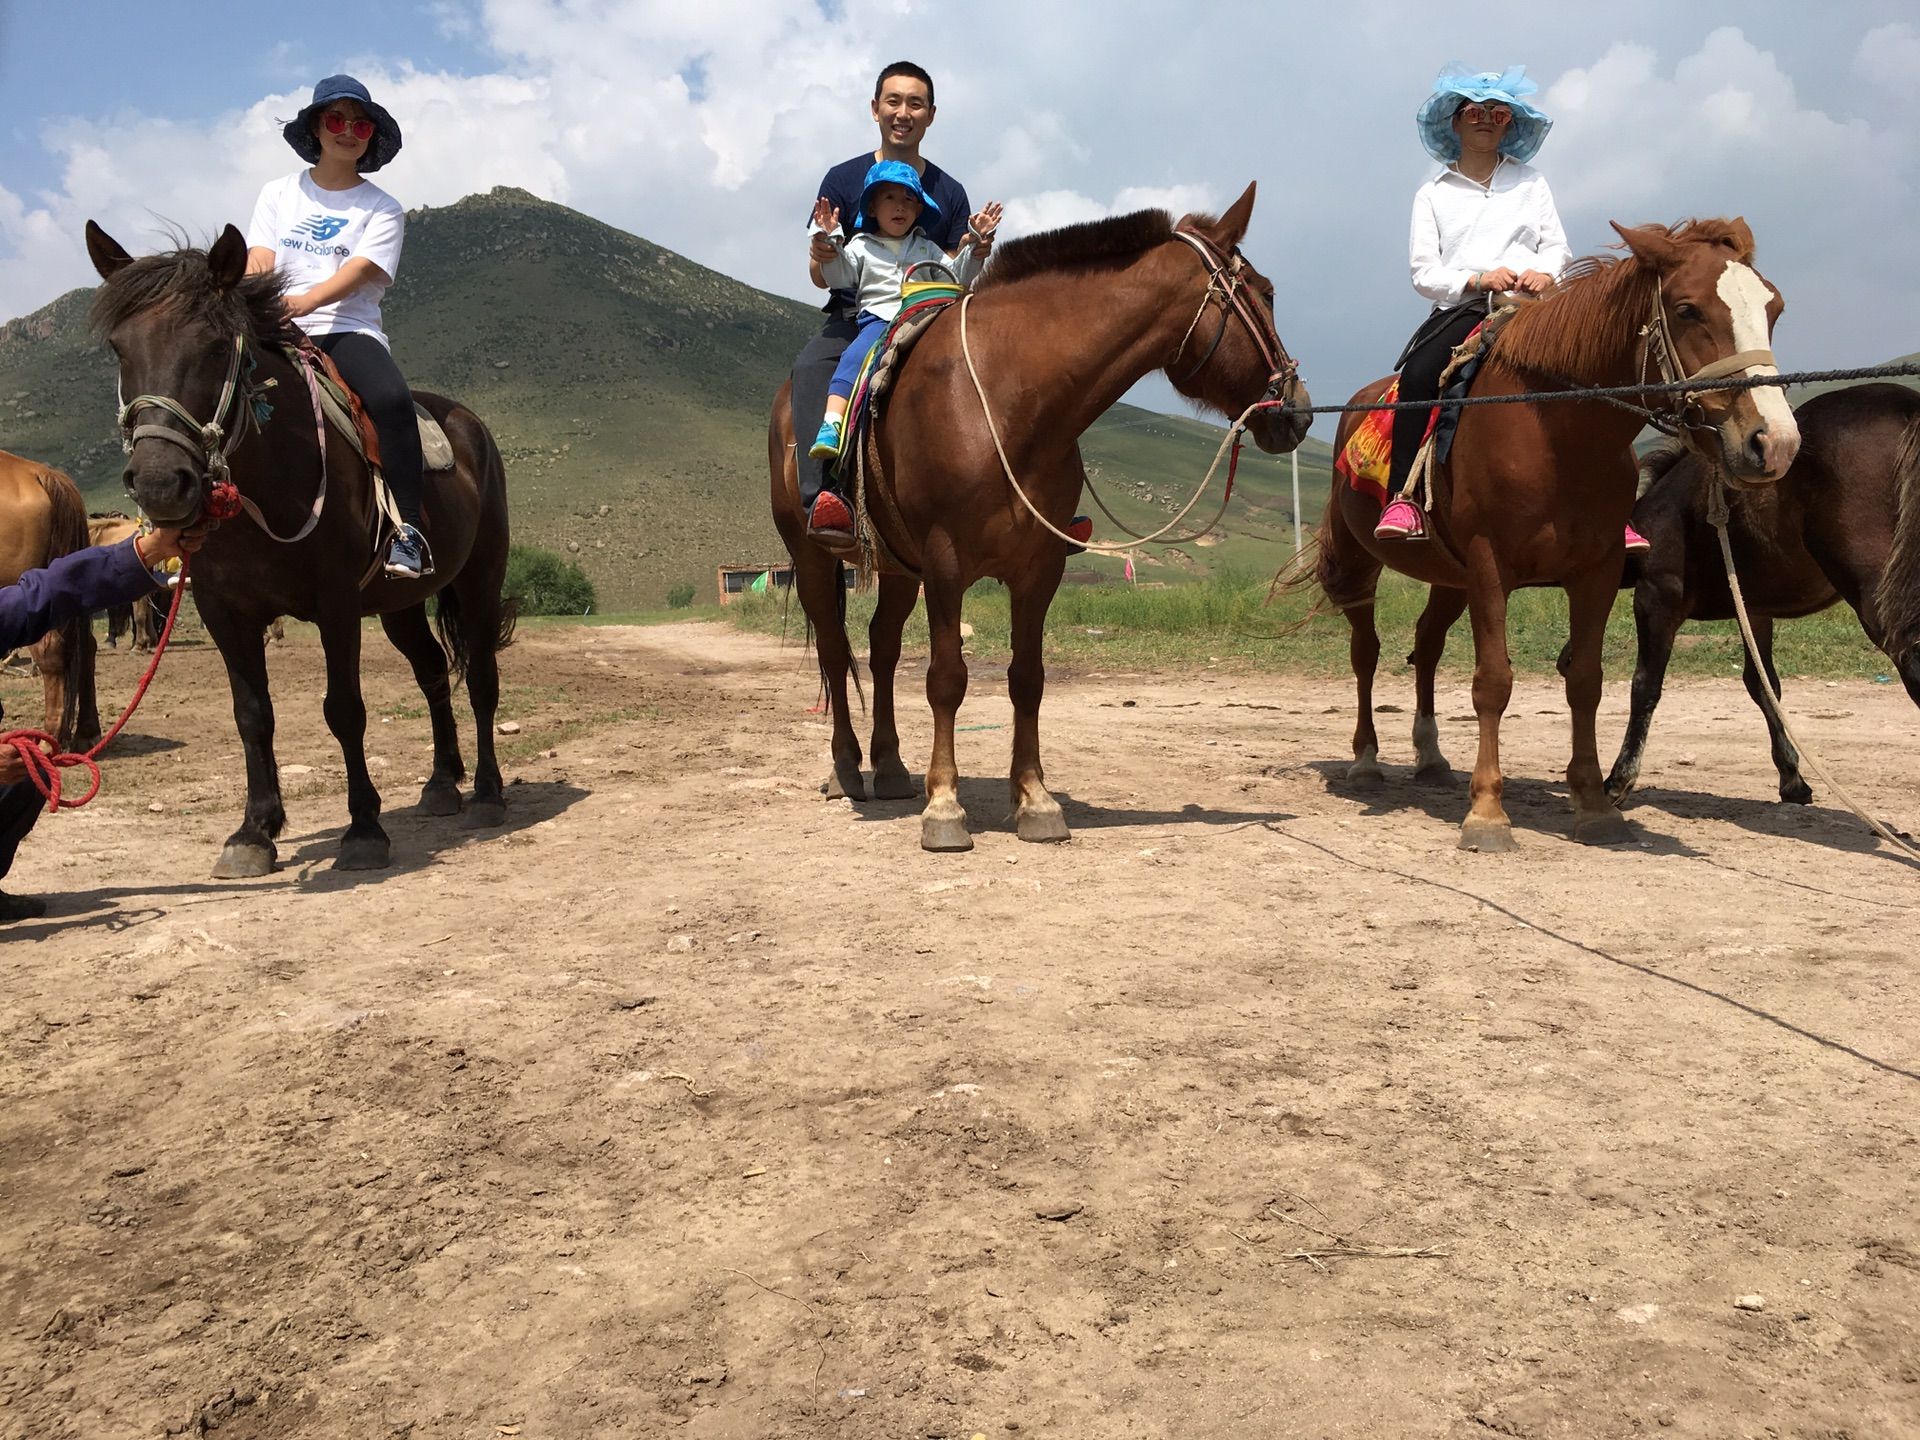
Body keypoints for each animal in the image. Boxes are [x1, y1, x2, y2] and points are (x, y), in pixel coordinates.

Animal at [87, 222, 514, 879]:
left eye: (216, 346)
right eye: (119, 348)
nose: (160, 483)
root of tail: (471, 426)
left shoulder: (336, 605)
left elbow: (345, 710)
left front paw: (363, 830)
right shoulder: (224, 612)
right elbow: (252, 714)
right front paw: (253, 832)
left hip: (478, 582)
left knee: (482, 679)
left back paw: (488, 795)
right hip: (399, 606)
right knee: (433, 671)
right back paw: (442, 784)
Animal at [771, 184, 1313, 852]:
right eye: (1265, 292)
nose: (1298, 411)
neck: (1012, 399)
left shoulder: (1039, 568)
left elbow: (1027, 678)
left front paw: (1034, 799)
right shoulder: (946, 565)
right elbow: (947, 678)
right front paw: (945, 808)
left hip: (899, 568)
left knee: (881, 650)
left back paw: (893, 768)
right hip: (813, 559)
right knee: (833, 648)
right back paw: (848, 769)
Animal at [1320, 219, 1797, 852]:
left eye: (1774, 308)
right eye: (1688, 309)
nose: (1775, 443)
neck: (1556, 432)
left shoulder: (1594, 571)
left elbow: (1586, 681)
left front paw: (1595, 805)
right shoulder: (1490, 566)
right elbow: (1493, 682)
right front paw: (1487, 814)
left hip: (1449, 577)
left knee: (1426, 644)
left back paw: (1430, 757)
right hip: (1360, 560)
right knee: (1366, 652)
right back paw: (1367, 759)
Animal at [1605, 380, 1920, 814]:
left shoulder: (1657, 597)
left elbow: (1645, 686)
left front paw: (1619, 780)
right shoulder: (1754, 610)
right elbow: (1764, 685)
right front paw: (1792, 779)